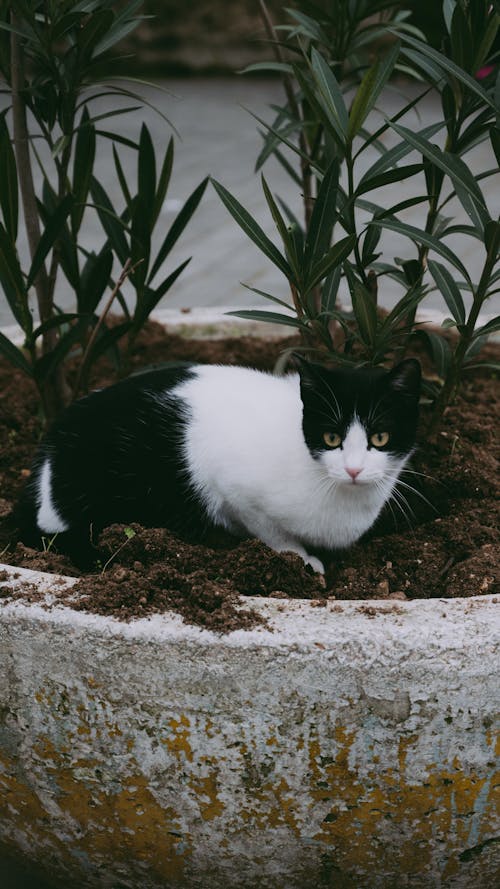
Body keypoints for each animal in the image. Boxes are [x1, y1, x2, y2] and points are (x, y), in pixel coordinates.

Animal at [17, 354, 420, 568]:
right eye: (331, 438)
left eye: (380, 439)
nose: (353, 469)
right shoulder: (237, 492)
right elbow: (276, 536)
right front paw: (302, 560)